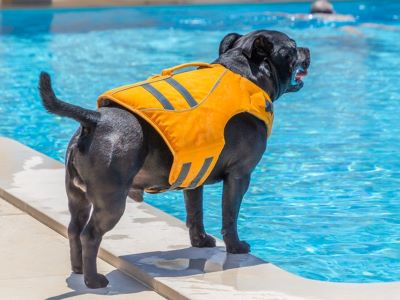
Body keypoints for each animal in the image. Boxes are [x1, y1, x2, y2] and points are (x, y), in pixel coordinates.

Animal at [39, 29, 310, 288]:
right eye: (293, 46)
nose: (307, 49)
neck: (246, 73)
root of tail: (95, 120)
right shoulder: (239, 175)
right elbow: (230, 214)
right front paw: (235, 247)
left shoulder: (195, 176)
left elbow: (195, 213)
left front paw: (200, 241)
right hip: (111, 202)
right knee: (90, 235)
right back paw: (93, 281)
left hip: (78, 197)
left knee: (74, 230)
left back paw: (78, 270)